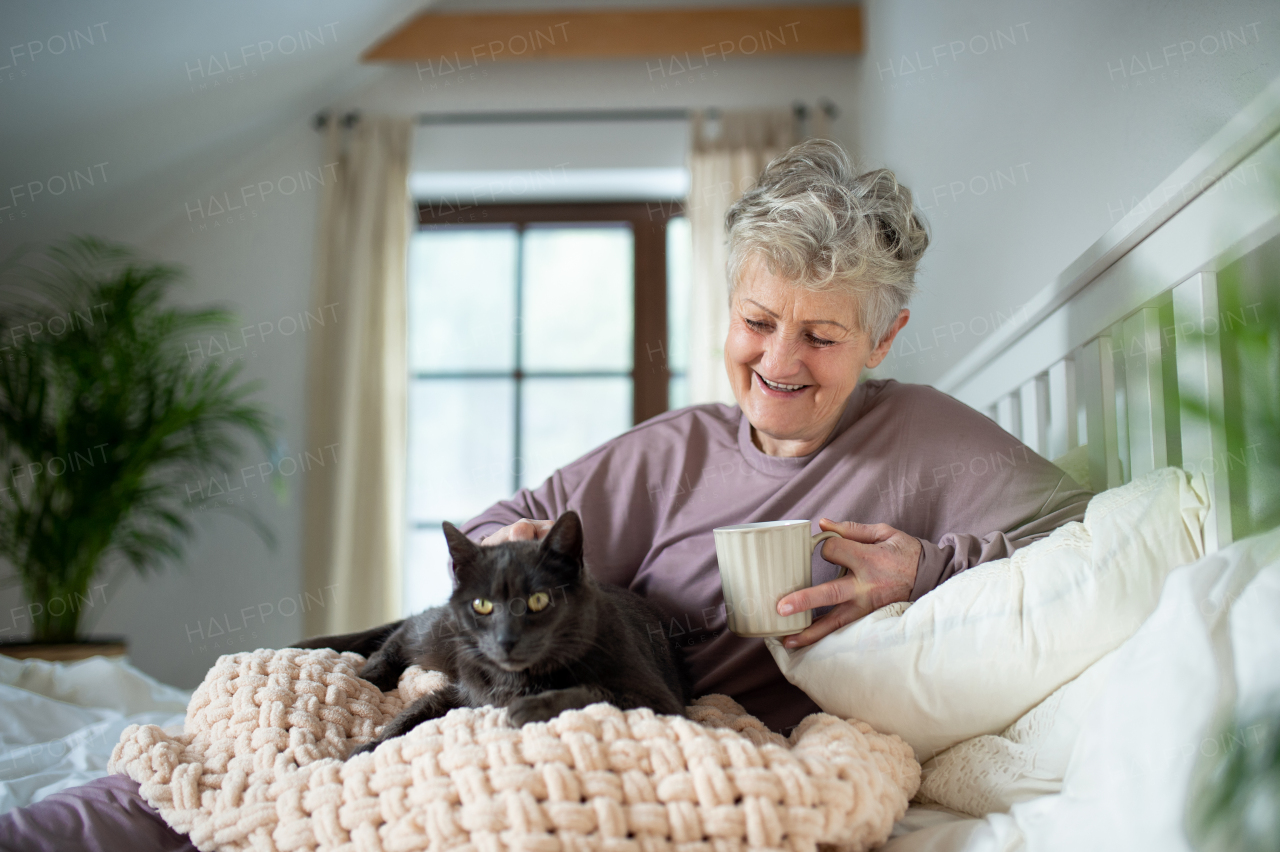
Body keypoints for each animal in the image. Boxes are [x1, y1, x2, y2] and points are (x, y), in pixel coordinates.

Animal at [293, 506, 691, 752]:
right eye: (482, 605)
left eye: (538, 600)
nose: (506, 639)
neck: (516, 679)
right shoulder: (462, 693)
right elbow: (411, 716)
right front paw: (365, 749)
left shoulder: (658, 700)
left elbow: (595, 691)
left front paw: (527, 709)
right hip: (440, 634)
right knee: (401, 633)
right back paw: (371, 674)